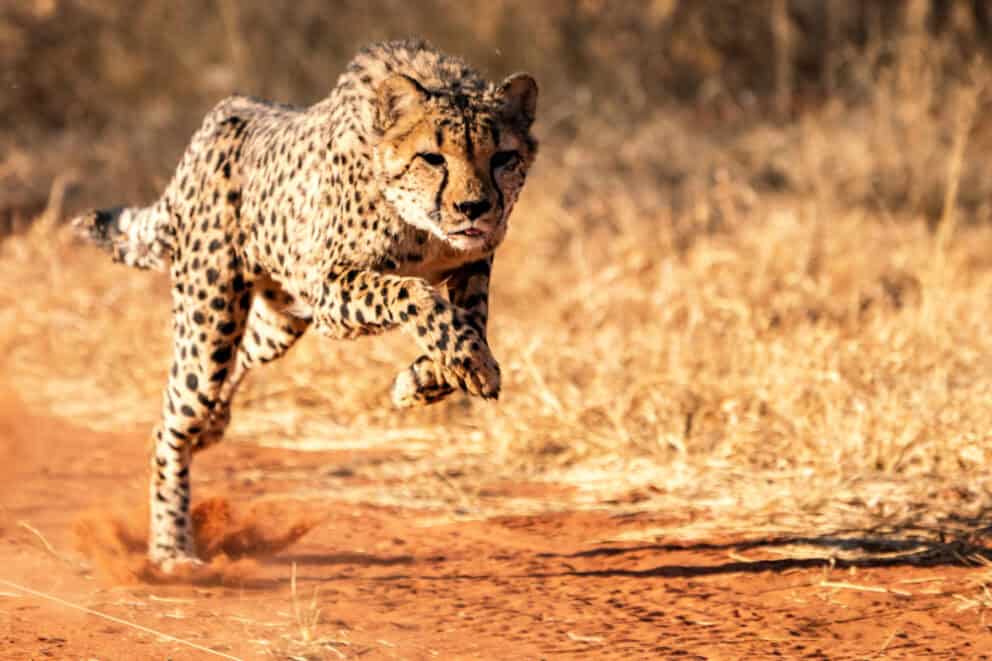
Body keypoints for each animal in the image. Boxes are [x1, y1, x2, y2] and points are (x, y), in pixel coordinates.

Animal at [71, 39, 538, 571]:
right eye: (432, 158)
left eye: (503, 157)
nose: (474, 208)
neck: (421, 226)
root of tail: (223, 113)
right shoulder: (331, 289)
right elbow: (412, 294)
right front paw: (462, 364)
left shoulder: (472, 263)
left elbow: (472, 320)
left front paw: (429, 378)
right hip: (209, 322)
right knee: (170, 426)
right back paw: (172, 548)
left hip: (277, 321)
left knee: (236, 365)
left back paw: (214, 427)